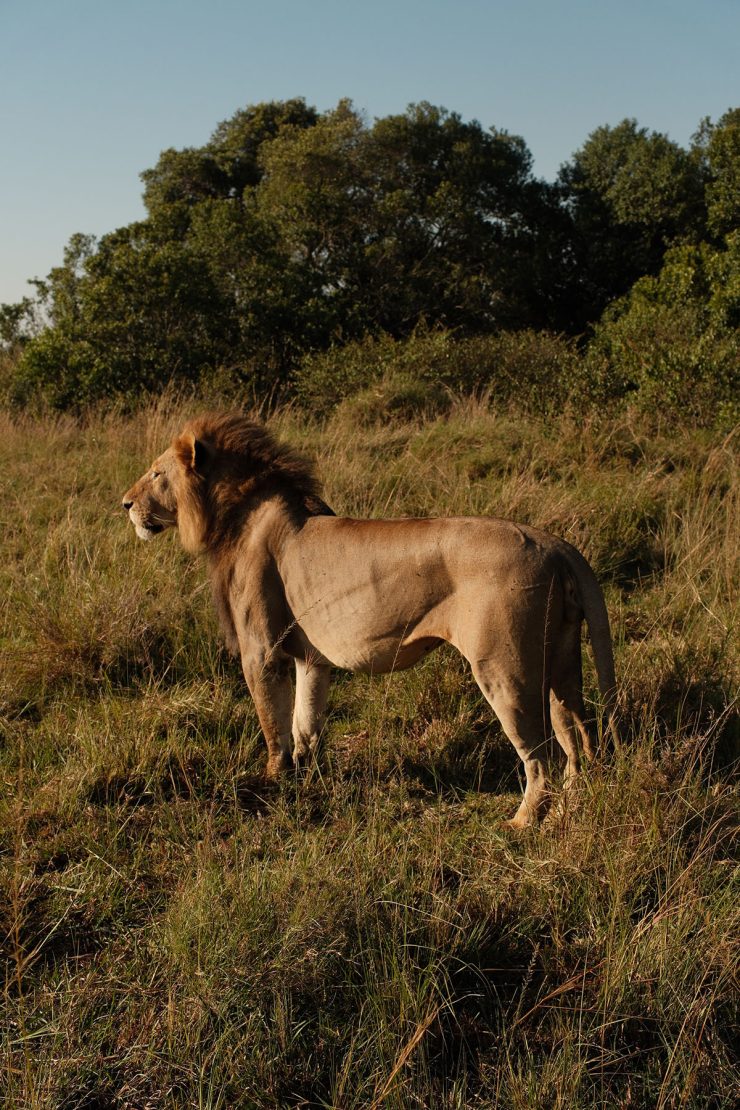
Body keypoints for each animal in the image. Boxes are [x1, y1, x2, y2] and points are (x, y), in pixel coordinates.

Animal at [122, 411, 618, 827]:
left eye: (157, 473)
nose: (125, 504)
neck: (232, 515)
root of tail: (556, 545)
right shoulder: (311, 657)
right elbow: (306, 721)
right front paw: (307, 777)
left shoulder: (261, 650)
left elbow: (272, 722)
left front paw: (272, 781)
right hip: (562, 657)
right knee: (579, 736)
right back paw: (569, 810)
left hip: (504, 666)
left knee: (541, 754)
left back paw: (522, 823)